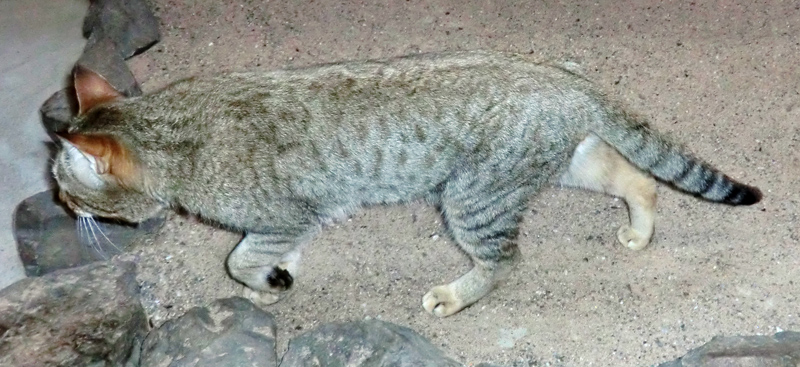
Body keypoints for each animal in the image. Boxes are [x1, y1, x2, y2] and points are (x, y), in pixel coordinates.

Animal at [53, 50, 760, 318]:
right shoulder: (288, 224)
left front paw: (268, 281)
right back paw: (639, 230)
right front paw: (281, 275)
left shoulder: (285, 215)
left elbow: (239, 259)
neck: (173, 130)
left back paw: (455, 294)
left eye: (69, 187)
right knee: (638, 177)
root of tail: (564, 77)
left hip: (472, 199)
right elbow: (262, 257)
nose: (61, 202)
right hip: (563, 160)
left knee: (505, 261)